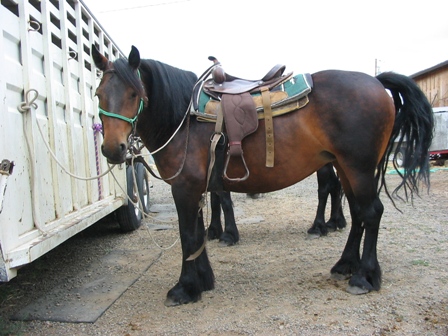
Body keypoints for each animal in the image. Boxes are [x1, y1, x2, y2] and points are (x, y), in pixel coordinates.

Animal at [92, 45, 434, 308]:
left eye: (134, 93)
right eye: (98, 94)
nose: (112, 148)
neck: (183, 118)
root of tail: (376, 81)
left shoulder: (185, 189)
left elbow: (188, 235)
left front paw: (185, 289)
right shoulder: (196, 188)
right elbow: (199, 233)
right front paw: (203, 280)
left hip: (358, 168)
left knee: (371, 213)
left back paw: (365, 276)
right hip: (345, 168)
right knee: (358, 213)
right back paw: (345, 265)